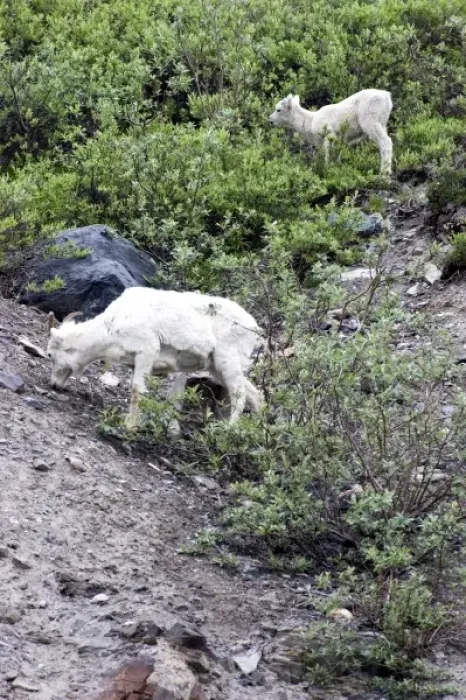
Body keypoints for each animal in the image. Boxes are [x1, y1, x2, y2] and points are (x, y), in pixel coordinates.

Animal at [46, 287, 264, 431]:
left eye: (50, 355)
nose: (54, 385)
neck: (111, 327)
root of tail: (254, 328)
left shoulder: (146, 353)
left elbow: (136, 390)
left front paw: (130, 426)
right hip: (217, 369)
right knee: (256, 397)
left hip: (228, 362)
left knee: (239, 397)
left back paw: (227, 431)